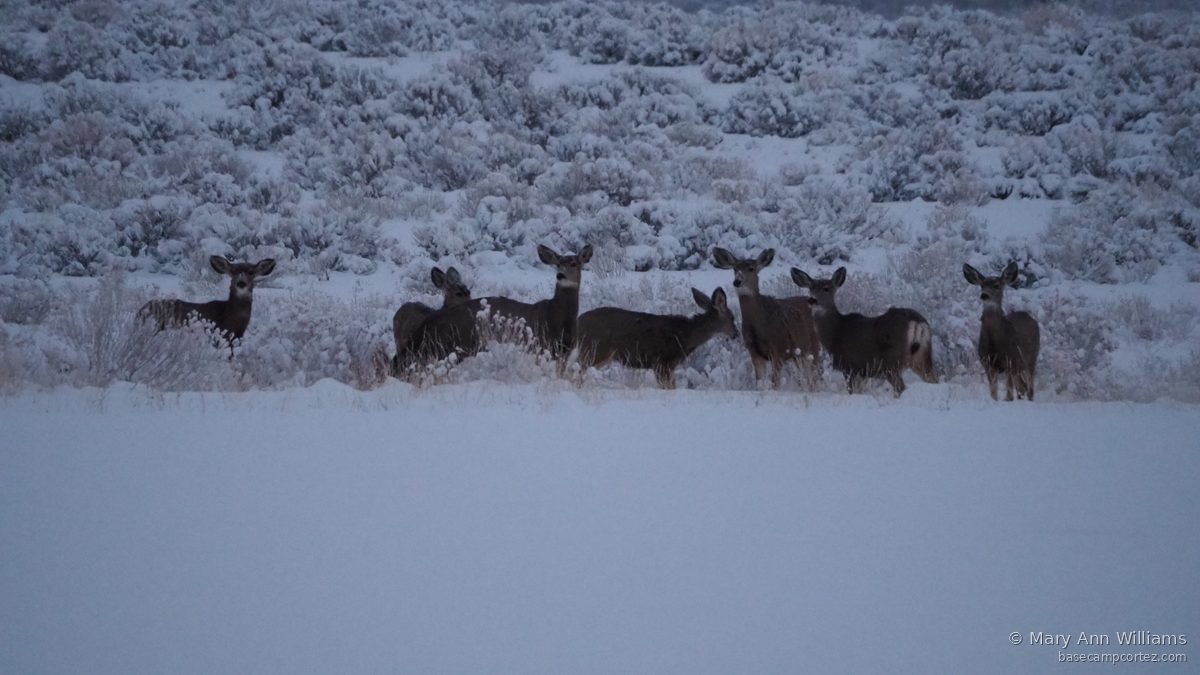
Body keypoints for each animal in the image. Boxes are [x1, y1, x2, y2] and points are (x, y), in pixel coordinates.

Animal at [396, 244, 592, 375]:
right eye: (558, 263)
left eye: (574, 263)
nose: (561, 275)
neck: (557, 318)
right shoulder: (540, 345)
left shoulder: (565, 351)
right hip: (456, 345)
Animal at [576, 287, 739, 388]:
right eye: (732, 318)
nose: (736, 334)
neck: (685, 336)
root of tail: (578, 321)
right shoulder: (662, 362)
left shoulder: (666, 366)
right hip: (594, 350)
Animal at [711, 247, 820, 388]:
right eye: (735, 268)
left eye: (751, 268)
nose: (737, 281)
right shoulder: (754, 352)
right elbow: (759, 383)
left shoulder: (778, 350)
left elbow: (775, 384)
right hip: (799, 354)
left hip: (813, 346)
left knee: (816, 376)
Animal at [790, 266, 937, 397]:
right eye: (810, 288)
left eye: (826, 288)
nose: (812, 300)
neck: (835, 333)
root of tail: (918, 322)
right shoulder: (862, 372)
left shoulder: (849, 365)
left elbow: (852, 392)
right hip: (922, 357)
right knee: (933, 380)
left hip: (891, 362)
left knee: (900, 387)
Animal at [962, 262, 1040, 401]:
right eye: (982, 285)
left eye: (997, 285)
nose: (984, 295)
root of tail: (1029, 317)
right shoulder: (987, 363)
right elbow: (994, 393)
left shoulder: (1010, 361)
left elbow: (1009, 394)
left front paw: (1008, 400)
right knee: (1023, 387)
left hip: (1031, 358)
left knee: (1029, 387)